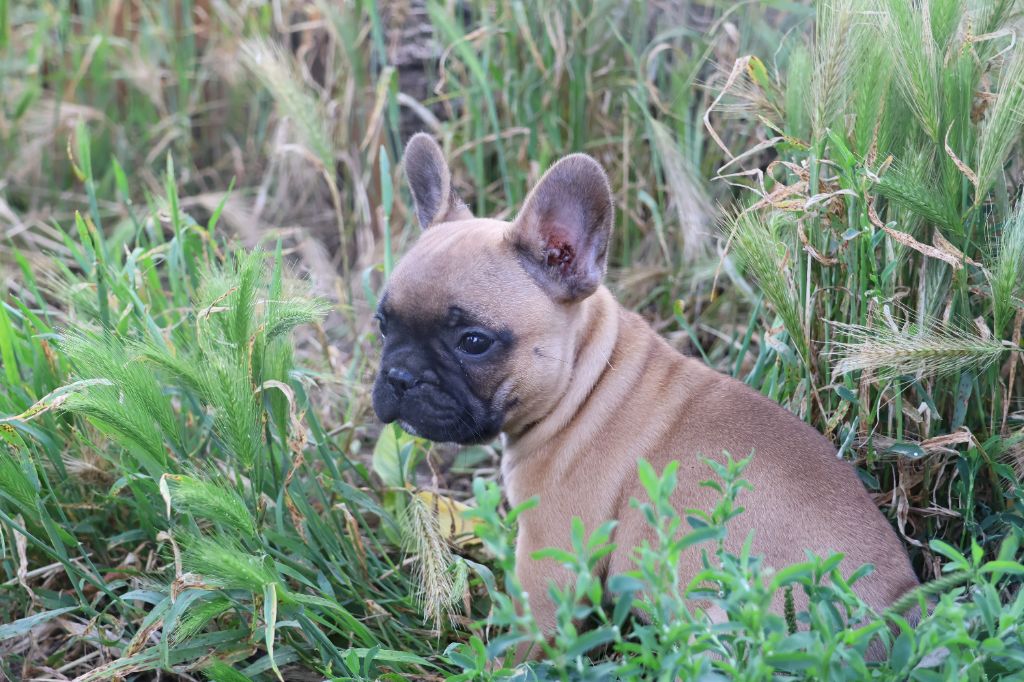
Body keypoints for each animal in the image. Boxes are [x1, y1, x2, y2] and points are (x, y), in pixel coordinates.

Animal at [374, 133, 921, 659]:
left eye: (474, 342)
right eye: (382, 324)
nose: (400, 376)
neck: (587, 379)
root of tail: (896, 614)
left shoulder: (550, 558)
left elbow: (525, 637)